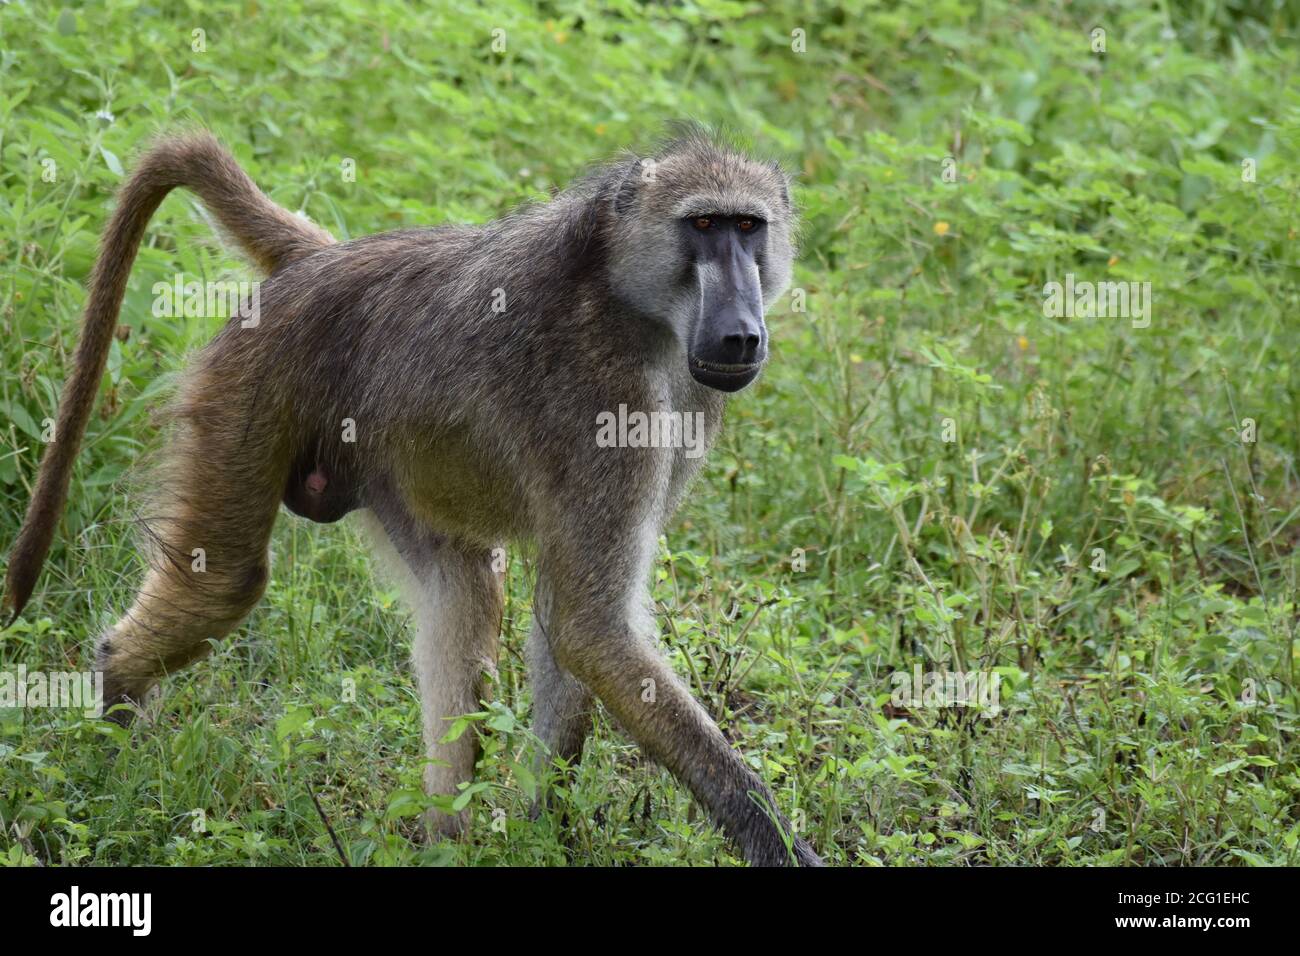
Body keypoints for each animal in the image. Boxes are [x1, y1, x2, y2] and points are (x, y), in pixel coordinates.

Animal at [3, 126, 824, 867]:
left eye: (750, 228)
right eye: (704, 226)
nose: (741, 332)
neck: (630, 295)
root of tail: (325, 260)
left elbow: (566, 625)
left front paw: (540, 837)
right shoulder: (607, 399)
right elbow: (592, 628)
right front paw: (778, 844)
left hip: (380, 461)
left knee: (464, 589)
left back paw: (443, 838)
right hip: (250, 385)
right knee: (225, 580)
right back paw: (107, 738)